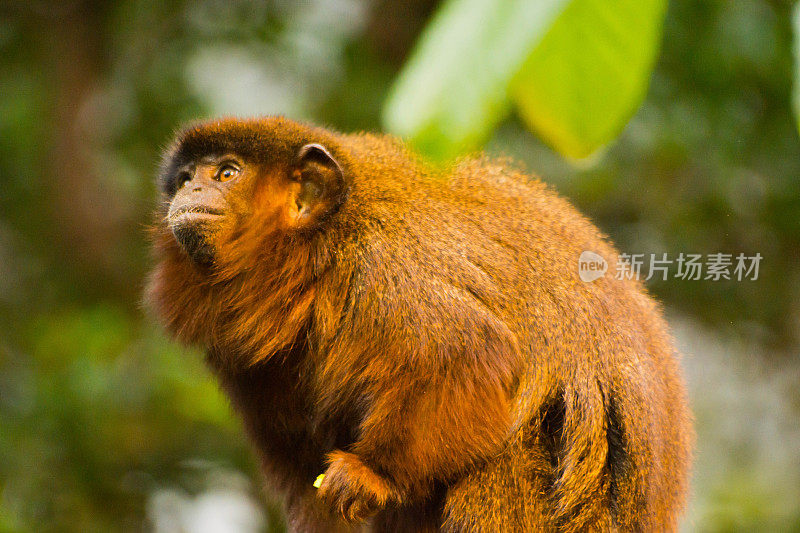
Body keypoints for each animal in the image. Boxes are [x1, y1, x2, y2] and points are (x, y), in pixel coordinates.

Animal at [147, 117, 692, 532]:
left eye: (226, 172)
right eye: (187, 176)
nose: (192, 188)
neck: (323, 247)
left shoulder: (387, 265)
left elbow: (467, 357)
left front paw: (371, 475)